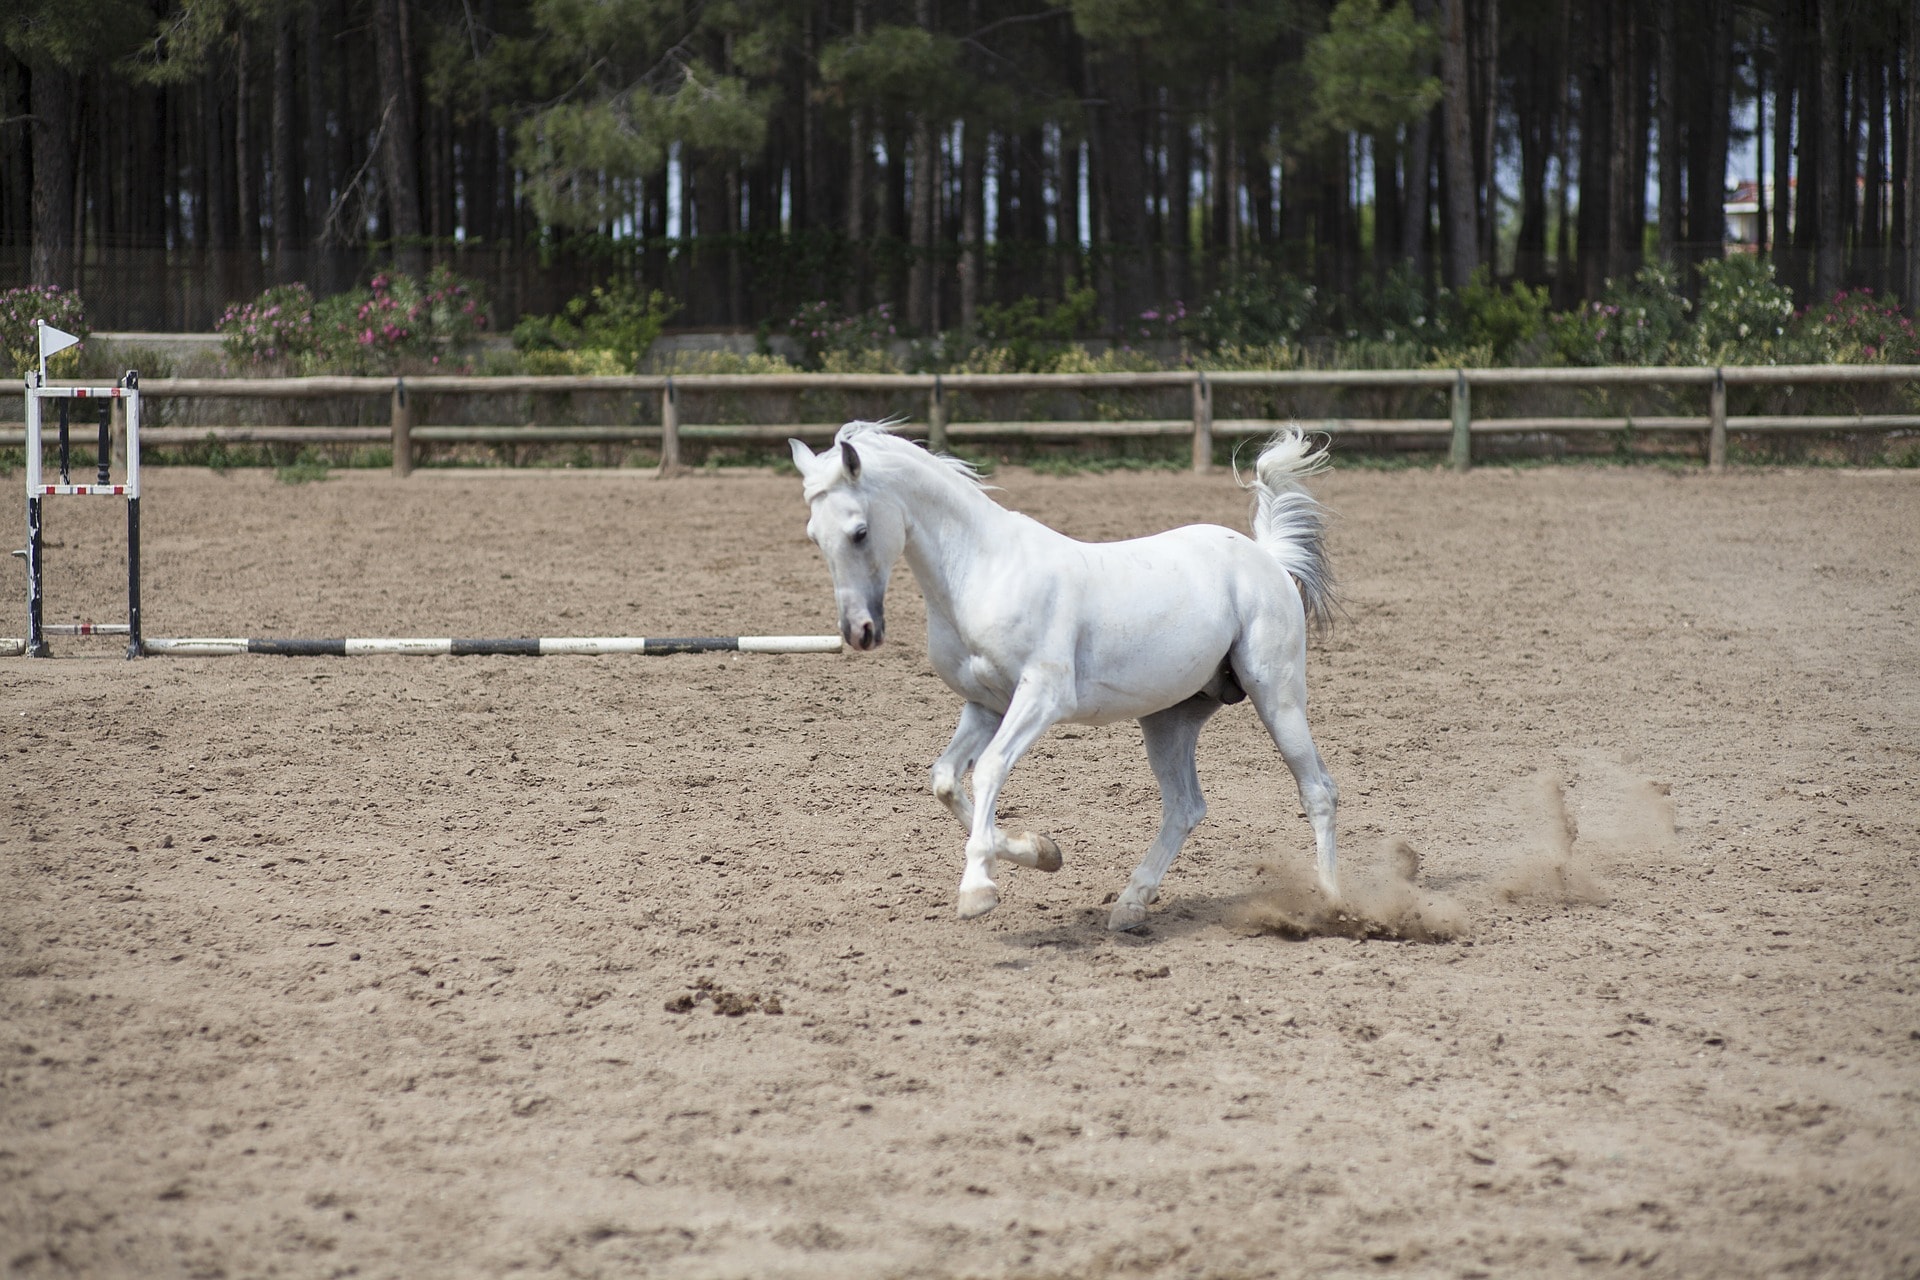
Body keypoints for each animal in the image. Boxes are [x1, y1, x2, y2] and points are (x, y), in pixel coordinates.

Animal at [787, 420, 1344, 932]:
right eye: (814, 535)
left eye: (859, 531)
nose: (859, 631)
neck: (982, 571)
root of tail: (1266, 558)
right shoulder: (985, 705)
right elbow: (945, 780)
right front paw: (1041, 852)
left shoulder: (1042, 698)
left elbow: (988, 769)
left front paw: (978, 889)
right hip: (1170, 719)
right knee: (1185, 807)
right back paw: (1131, 904)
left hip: (1276, 694)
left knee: (1317, 790)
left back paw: (1333, 904)